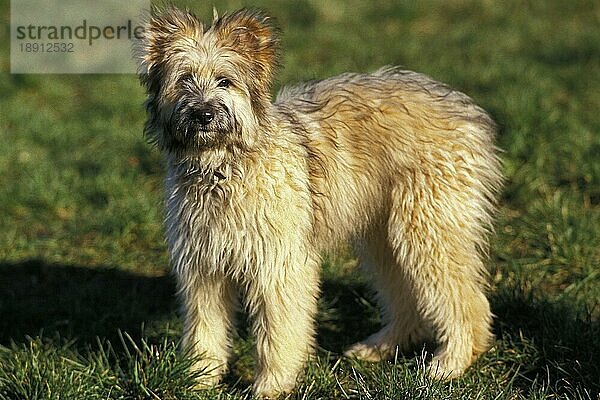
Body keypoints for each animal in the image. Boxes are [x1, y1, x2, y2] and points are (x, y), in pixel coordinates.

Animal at [136, 5, 502, 396]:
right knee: (407, 298)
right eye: (184, 79)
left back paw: (450, 363)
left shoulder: (279, 266)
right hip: (385, 237)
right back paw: (378, 347)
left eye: (225, 81)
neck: (222, 168)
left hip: (428, 227)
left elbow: (279, 332)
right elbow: (204, 329)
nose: (203, 113)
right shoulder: (203, 267)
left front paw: (272, 385)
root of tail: (464, 107)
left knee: (465, 301)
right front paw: (198, 380)